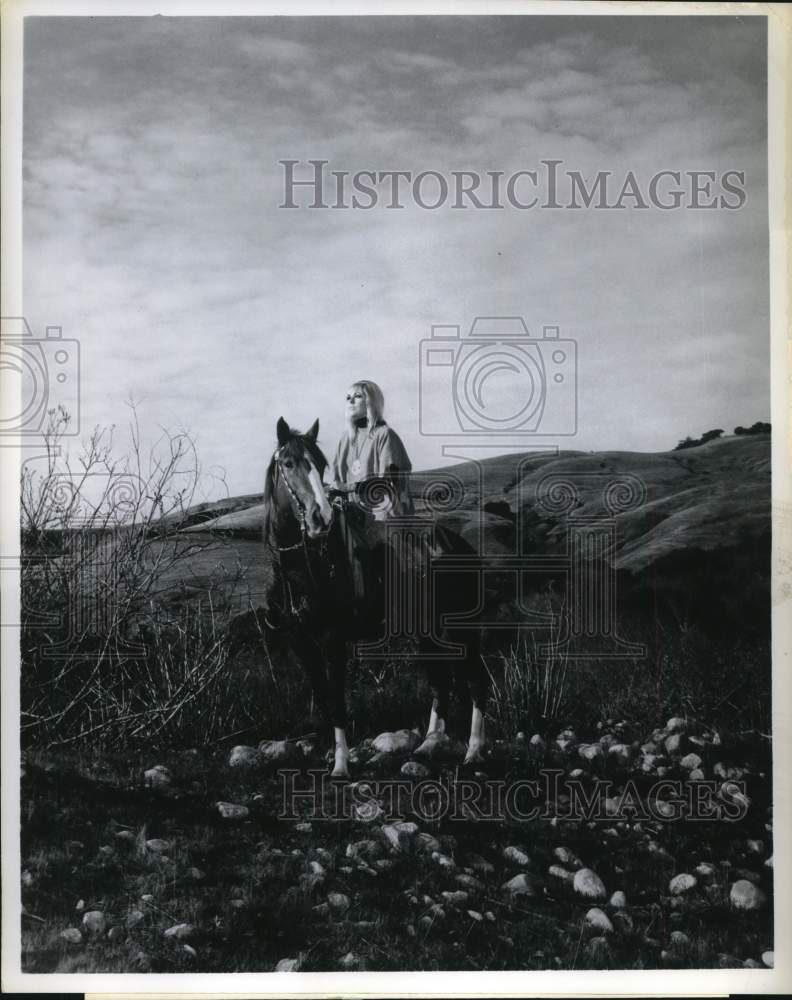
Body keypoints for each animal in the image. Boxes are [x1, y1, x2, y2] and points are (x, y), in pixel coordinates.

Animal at [260, 416, 486, 780]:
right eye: (289, 463)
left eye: (319, 464)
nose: (320, 518)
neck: (302, 569)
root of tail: (460, 545)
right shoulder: (301, 643)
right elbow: (323, 697)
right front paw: (329, 754)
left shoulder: (332, 641)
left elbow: (337, 701)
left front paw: (340, 764)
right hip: (429, 632)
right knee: (441, 683)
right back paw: (429, 745)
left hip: (461, 630)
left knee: (477, 681)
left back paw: (475, 751)